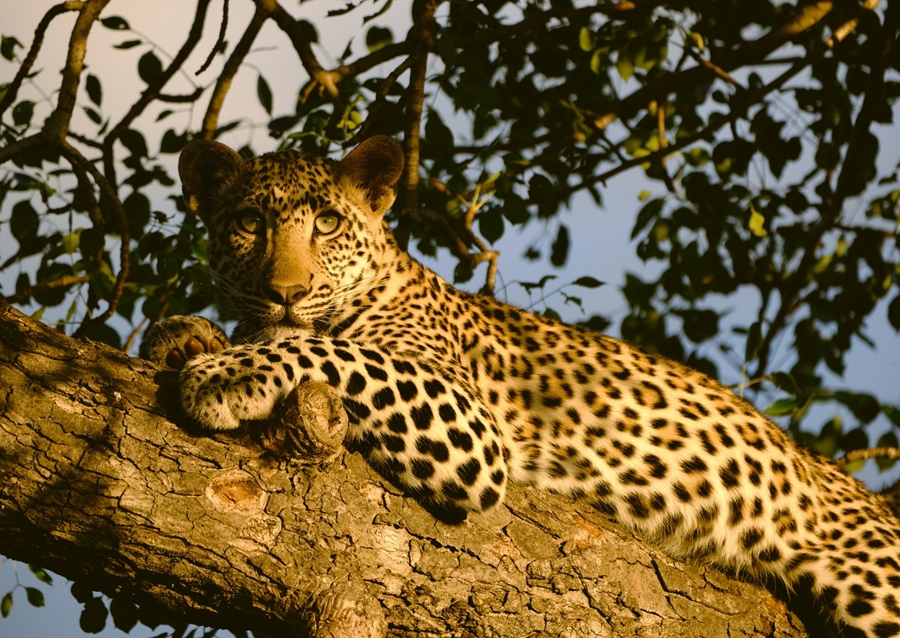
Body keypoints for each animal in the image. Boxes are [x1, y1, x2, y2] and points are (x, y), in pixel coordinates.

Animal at [142, 135, 900, 638]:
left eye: (326, 223)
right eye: (249, 224)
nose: (287, 292)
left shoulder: (466, 423)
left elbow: (332, 348)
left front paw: (224, 372)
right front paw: (185, 335)